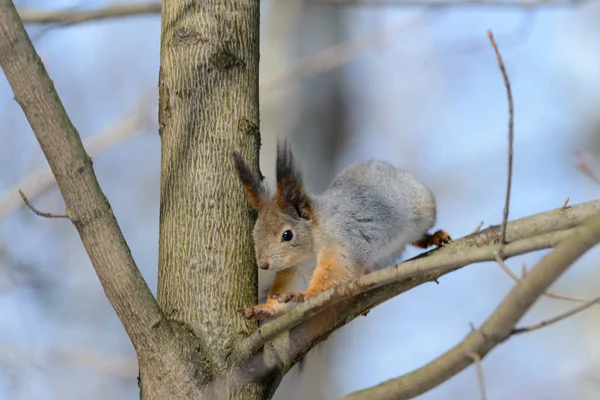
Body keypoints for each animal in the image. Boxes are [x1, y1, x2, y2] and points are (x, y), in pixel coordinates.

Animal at [233, 142, 450, 320]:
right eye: (255, 233)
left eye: (287, 235)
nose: (263, 264)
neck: (310, 249)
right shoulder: (298, 267)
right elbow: (288, 285)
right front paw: (265, 308)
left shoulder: (342, 242)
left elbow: (335, 272)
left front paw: (304, 294)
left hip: (422, 208)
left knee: (417, 236)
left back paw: (433, 237)